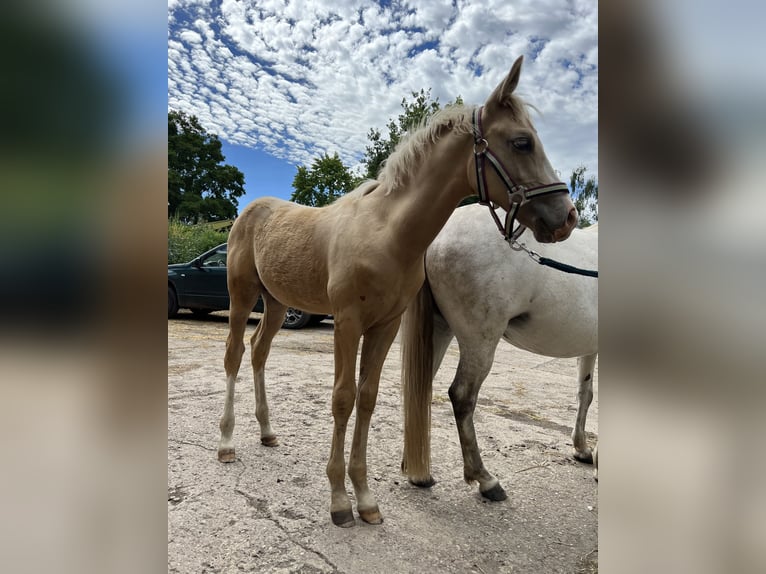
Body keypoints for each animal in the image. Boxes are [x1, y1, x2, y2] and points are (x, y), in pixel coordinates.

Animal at [216, 56, 576, 528]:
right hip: (242, 298)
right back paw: (226, 442)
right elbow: (343, 398)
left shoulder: (385, 326)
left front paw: (365, 498)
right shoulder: (347, 322)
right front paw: (338, 500)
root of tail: (251, 211)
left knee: (259, 353)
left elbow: (366, 399)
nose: (566, 217)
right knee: (235, 355)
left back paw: (267, 432)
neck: (387, 233)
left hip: (276, 304)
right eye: (522, 142)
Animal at [402, 205, 600, 502]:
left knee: (419, 389)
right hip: (480, 339)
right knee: (462, 396)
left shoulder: (590, 348)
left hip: (439, 328)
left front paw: (583, 449)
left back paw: (418, 472)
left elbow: (585, 395)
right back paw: (485, 479)